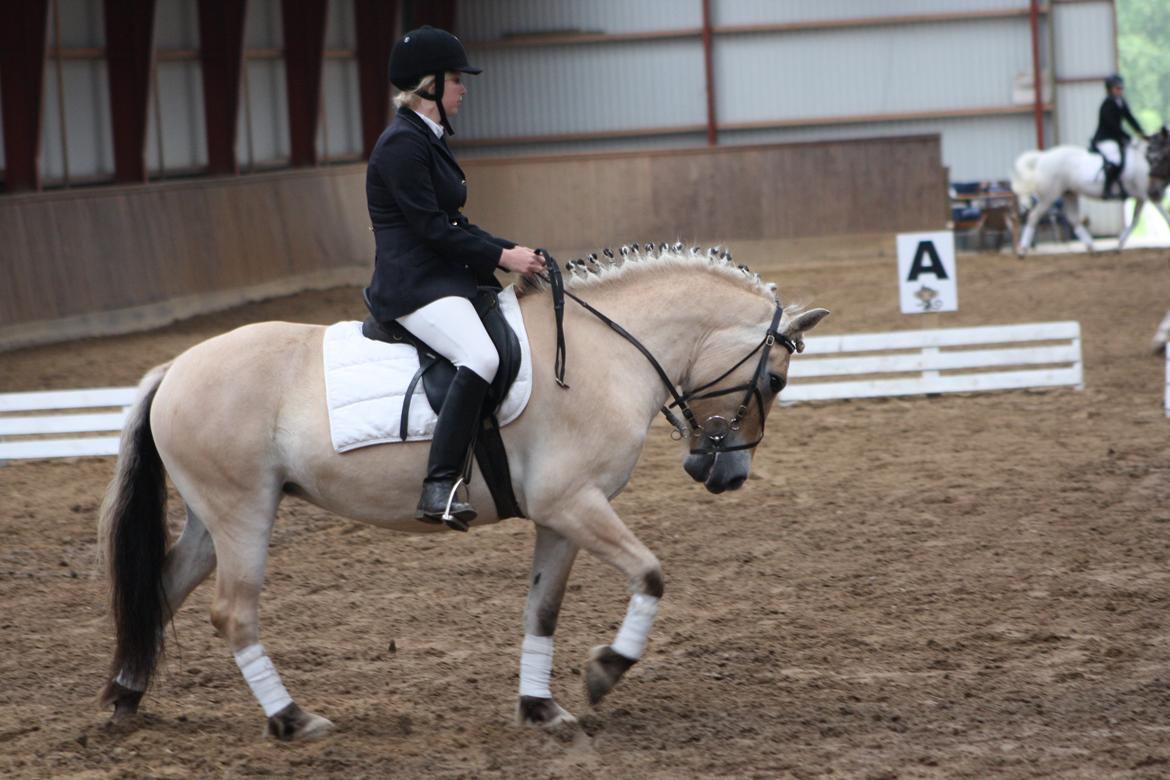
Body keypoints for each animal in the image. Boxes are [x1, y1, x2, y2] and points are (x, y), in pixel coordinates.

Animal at [100, 246, 833, 743]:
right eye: (775, 380)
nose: (726, 474)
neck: (607, 353)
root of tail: (174, 368)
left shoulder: (561, 517)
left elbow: (543, 610)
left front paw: (541, 708)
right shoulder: (573, 502)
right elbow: (651, 574)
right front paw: (605, 670)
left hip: (212, 517)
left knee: (162, 588)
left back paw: (122, 699)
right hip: (243, 512)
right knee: (232, 612)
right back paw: (292, 717)